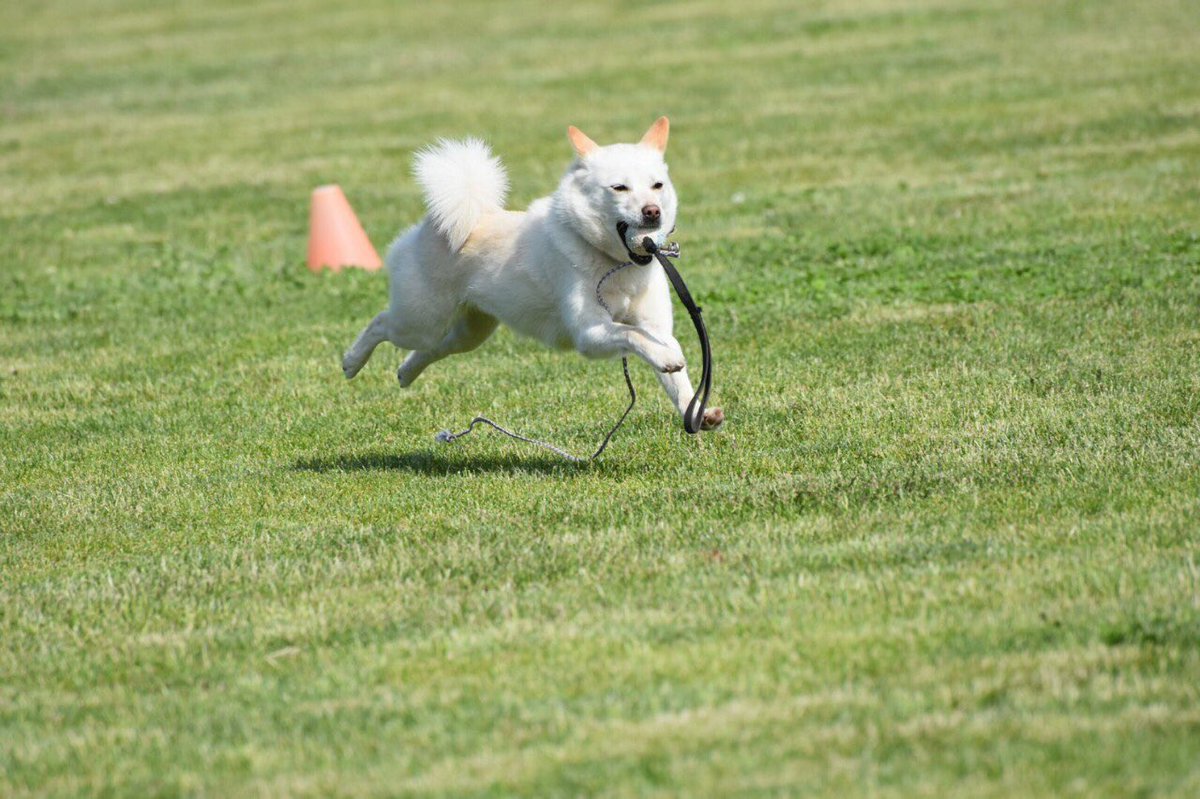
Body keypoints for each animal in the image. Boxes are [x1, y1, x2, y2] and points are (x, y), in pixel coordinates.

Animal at [343, 115, 724, 429]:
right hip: (421, 320)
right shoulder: (591, 333)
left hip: (470, 332)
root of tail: (440, 223)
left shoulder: (654, 325)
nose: (652, 212)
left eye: (657, 186)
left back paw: (405, 374)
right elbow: (632, 335)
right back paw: (351, 361)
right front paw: (667, 357)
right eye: (619, 188)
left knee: (434, 349)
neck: (615, 264)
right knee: (382, 323)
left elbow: (676, 376)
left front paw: (697, 412)